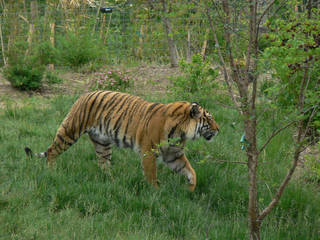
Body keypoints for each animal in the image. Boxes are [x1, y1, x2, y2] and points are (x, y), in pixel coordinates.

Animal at [25, 90, 220, 191]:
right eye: (209, 119)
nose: (219, 129)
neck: (180, 132)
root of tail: (84, 94)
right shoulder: (149, 152)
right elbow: (151, 175)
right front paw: (156, 193)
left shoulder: (174, 155)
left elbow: (190, 171)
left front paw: (191, 188)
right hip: (70, 131)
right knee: (52, 151)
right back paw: (52, 172)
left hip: (103, 144)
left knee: (103, 164)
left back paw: (111, 182)